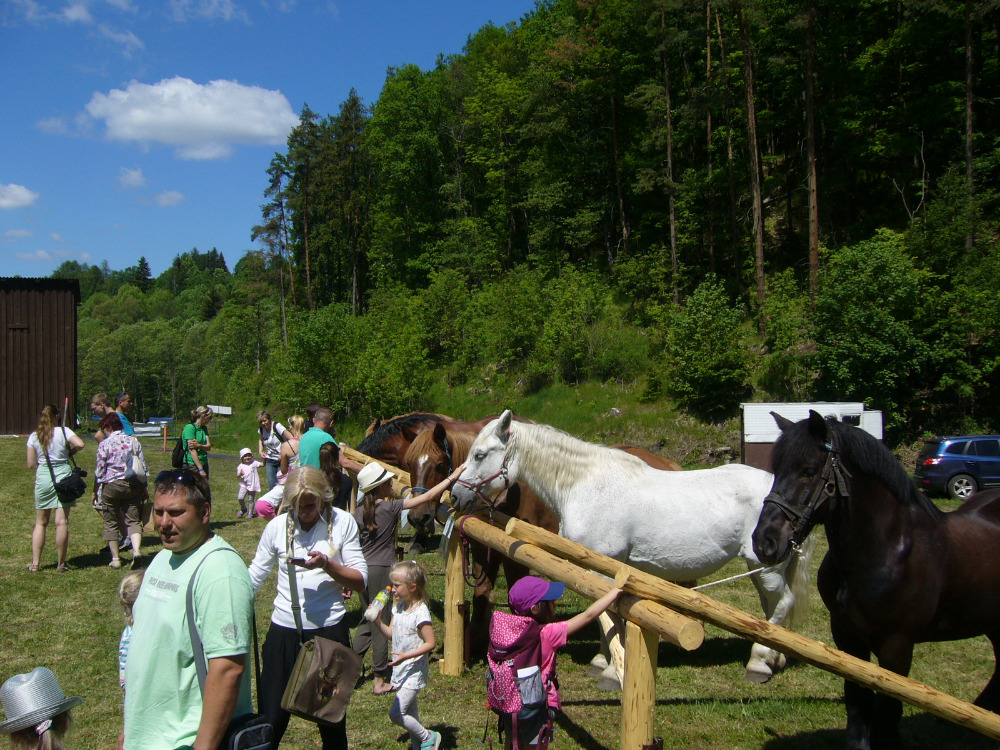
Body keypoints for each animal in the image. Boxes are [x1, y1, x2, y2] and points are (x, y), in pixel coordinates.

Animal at [454, 412, 812, 680]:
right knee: (771, 608)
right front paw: (604, 660)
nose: (456, 495)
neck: (584, 485)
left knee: (782, 603)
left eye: (480, 455)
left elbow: (610, 614)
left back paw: (759, 663)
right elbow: (606, 614)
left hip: (764, 564)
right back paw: (775, 658)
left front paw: (613, 668)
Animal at [752, 412, 1000, 750]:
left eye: (808, 471)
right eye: (777, 471)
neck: (884, 550)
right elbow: (858, 703)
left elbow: (889, 709)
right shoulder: (847, 636)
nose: (764, 542)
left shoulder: (896, 645)